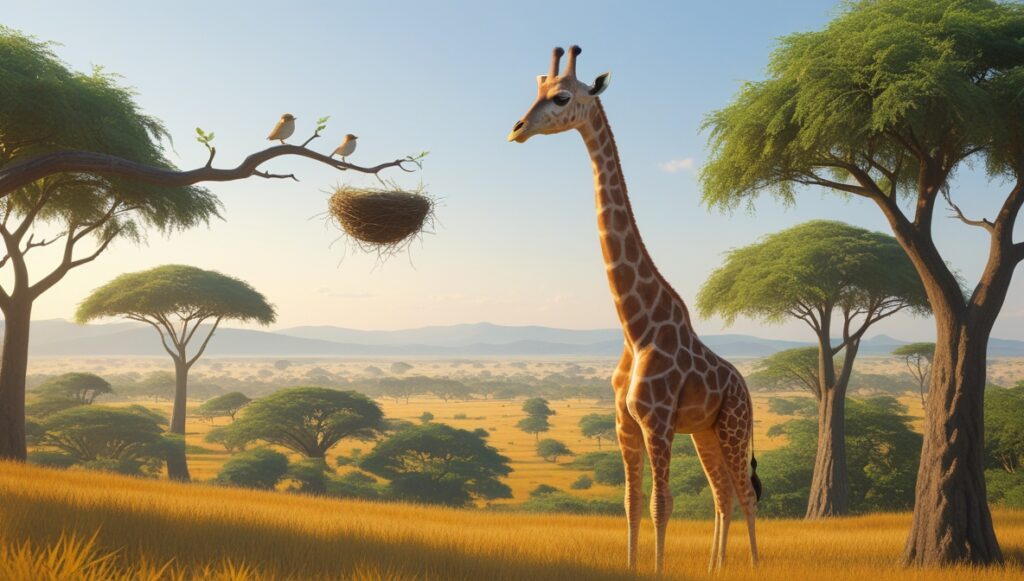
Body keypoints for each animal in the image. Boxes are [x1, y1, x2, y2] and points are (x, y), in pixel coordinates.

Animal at [507, 45, 761, 574]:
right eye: (535, 90)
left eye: (562, 98)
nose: (517, 128)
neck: (635, 326)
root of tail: (746, 387)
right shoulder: (624, 422)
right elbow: (630, 503)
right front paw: (630, 565)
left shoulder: (657, 421)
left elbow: (661, 504)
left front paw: (659, 568)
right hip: (706, 431)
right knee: (723, 494)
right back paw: (715, 567)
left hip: (733, 424)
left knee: (746, 495)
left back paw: (753, 566)